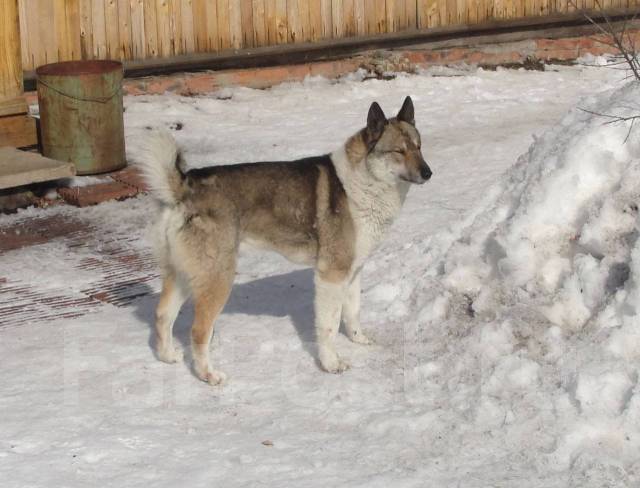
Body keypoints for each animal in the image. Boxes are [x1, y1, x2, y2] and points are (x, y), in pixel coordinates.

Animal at [138, 96, 432, 386]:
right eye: (399, 151)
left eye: (419, 147)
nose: (428, 173)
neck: (363, 181)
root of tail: (184, 187)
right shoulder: (331, 276)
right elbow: (329, 326)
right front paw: (331, 364)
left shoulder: (353, 272)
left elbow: (353, 312)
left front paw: (358, 340)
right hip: (217, 277)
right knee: (198, 331)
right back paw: (208, 375)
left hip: (183, 273)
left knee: (162, 315)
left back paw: (167, 356)